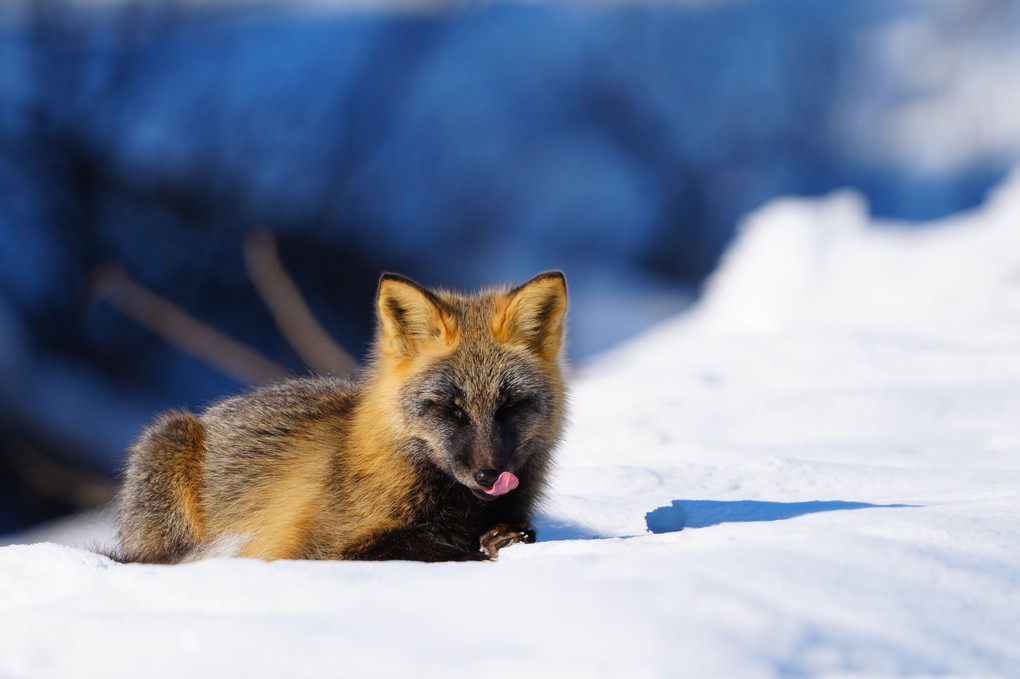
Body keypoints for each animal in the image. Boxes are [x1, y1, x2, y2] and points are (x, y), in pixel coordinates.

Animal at [117, 269, 575, 558]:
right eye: (450, 407)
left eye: (508, 405)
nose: (489, 475)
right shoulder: (310, 546)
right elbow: (433, 552)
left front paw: (502, 540)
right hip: (171, 440)